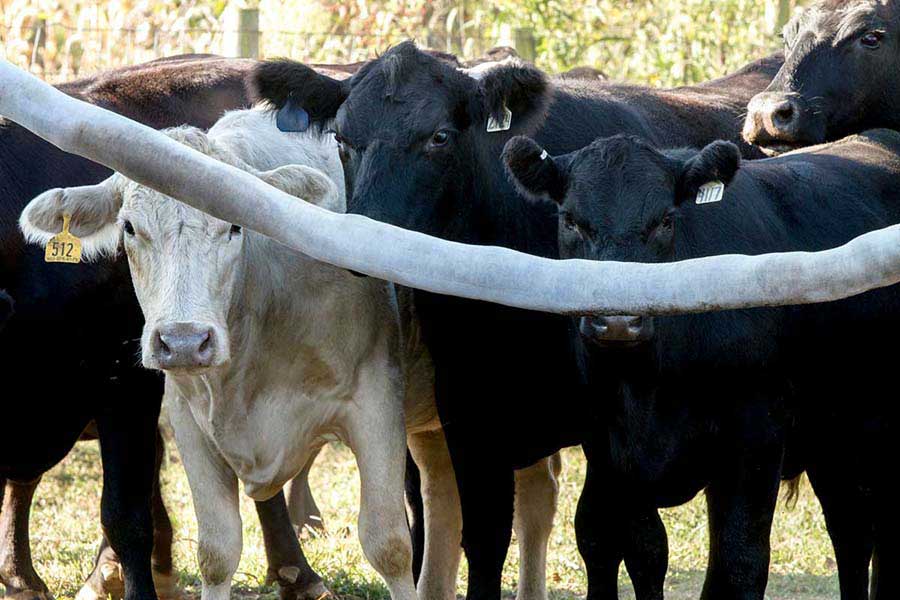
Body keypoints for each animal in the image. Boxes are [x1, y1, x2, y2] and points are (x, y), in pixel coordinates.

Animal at [18, 108, 563, 600]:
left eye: (235, 226)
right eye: (130, 227)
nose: (184, 340)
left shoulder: (375, 404)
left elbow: (389, 545)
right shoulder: (188, 420)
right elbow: (217, 553)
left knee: (535, 497)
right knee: (444, 496)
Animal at [248, 40, 784, 599]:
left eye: (439, 136)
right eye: (341, 139)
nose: (367, 238)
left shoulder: (601, 427)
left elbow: (599, 534)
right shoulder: (470, 413)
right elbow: (483, 534)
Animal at [503, 128, 900, 600]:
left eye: (665, 220)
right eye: (570, 221)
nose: (617, 321)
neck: (647, 390)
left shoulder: (757, 437)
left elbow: (740, 560)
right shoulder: (611, 451)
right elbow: (645, 551)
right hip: (833, 437)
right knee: (851, 529)